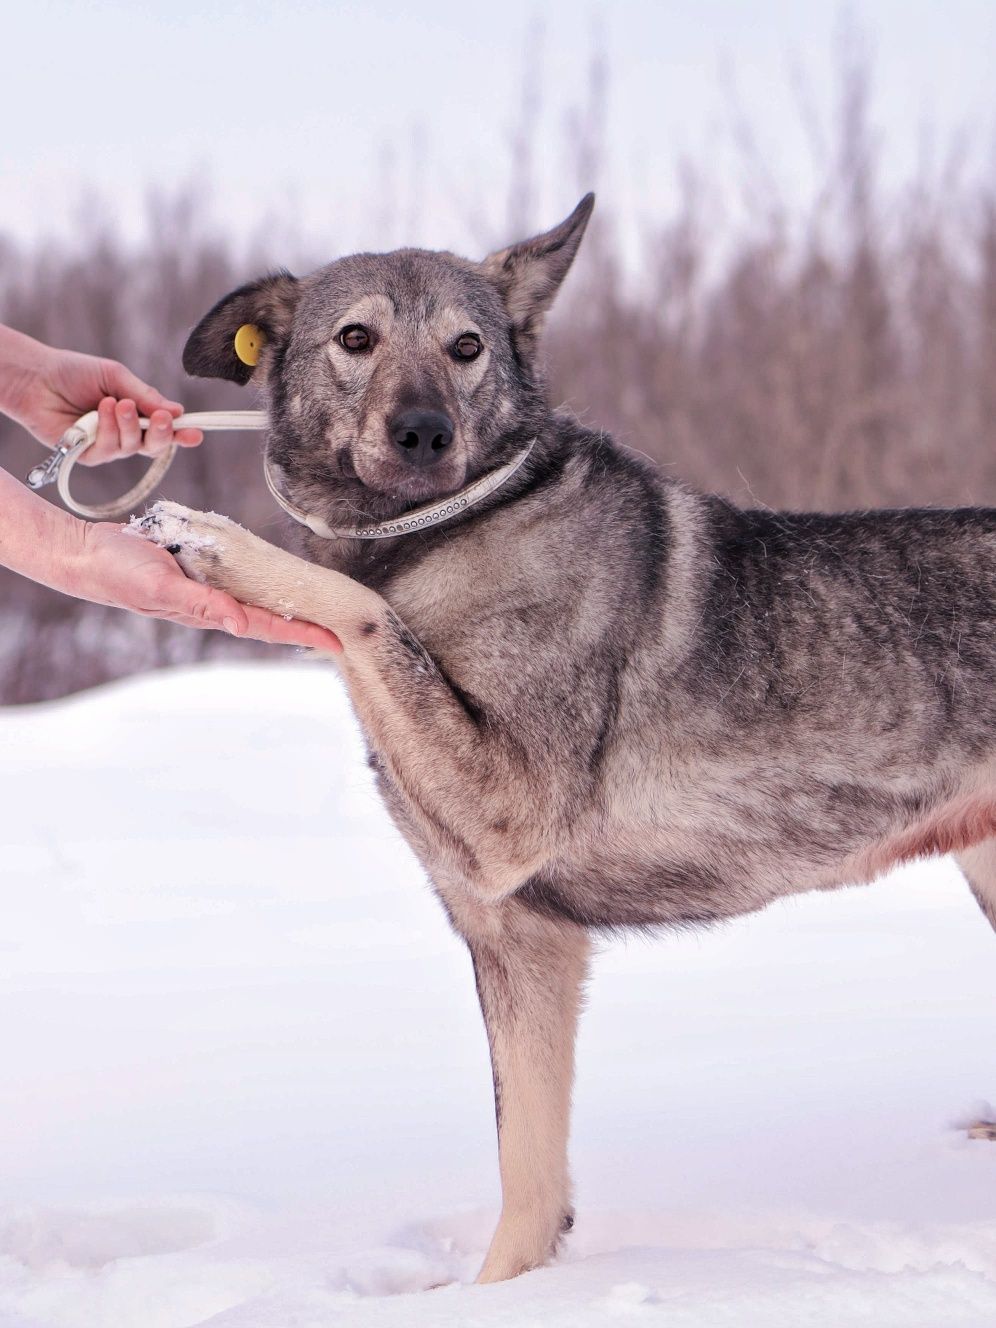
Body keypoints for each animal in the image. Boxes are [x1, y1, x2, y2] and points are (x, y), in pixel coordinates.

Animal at [136, 192, 996, 1280]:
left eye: (466, 347)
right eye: (355, 338)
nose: (424, 433)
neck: (449, 528)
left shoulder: (506, 811)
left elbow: (359, 609)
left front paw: (217, 541)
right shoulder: (519, 938)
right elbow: (530, 1175)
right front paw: (498, 1290)